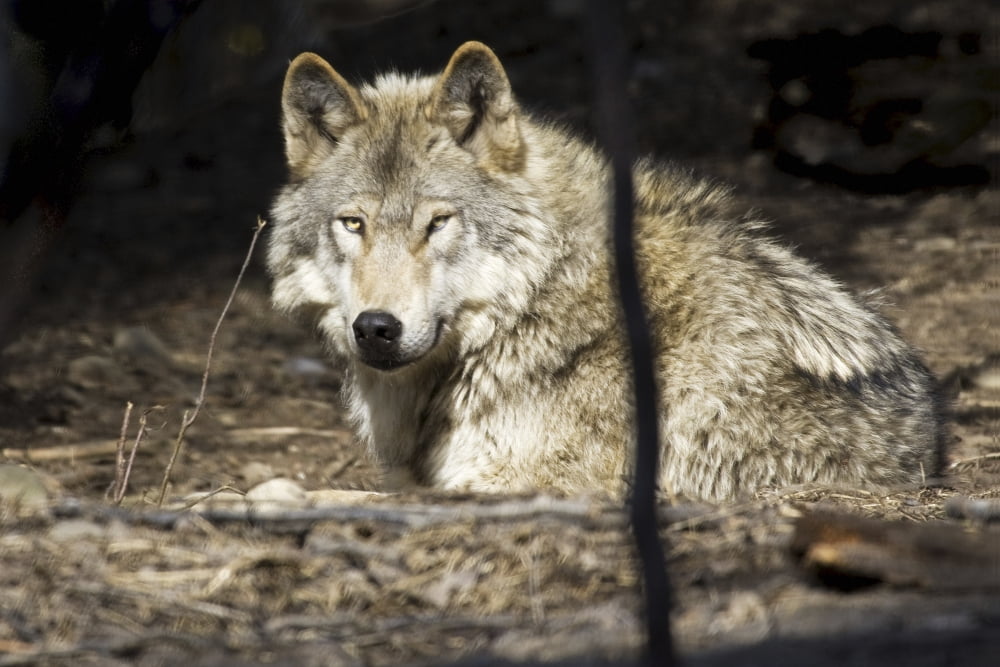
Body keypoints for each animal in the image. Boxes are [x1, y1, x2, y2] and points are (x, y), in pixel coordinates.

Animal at [267, 41, 945, 501]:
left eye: (437, 223)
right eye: (353, 224)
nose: (375, 328)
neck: (539, 300)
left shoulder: (526, 483)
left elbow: (329, 497)